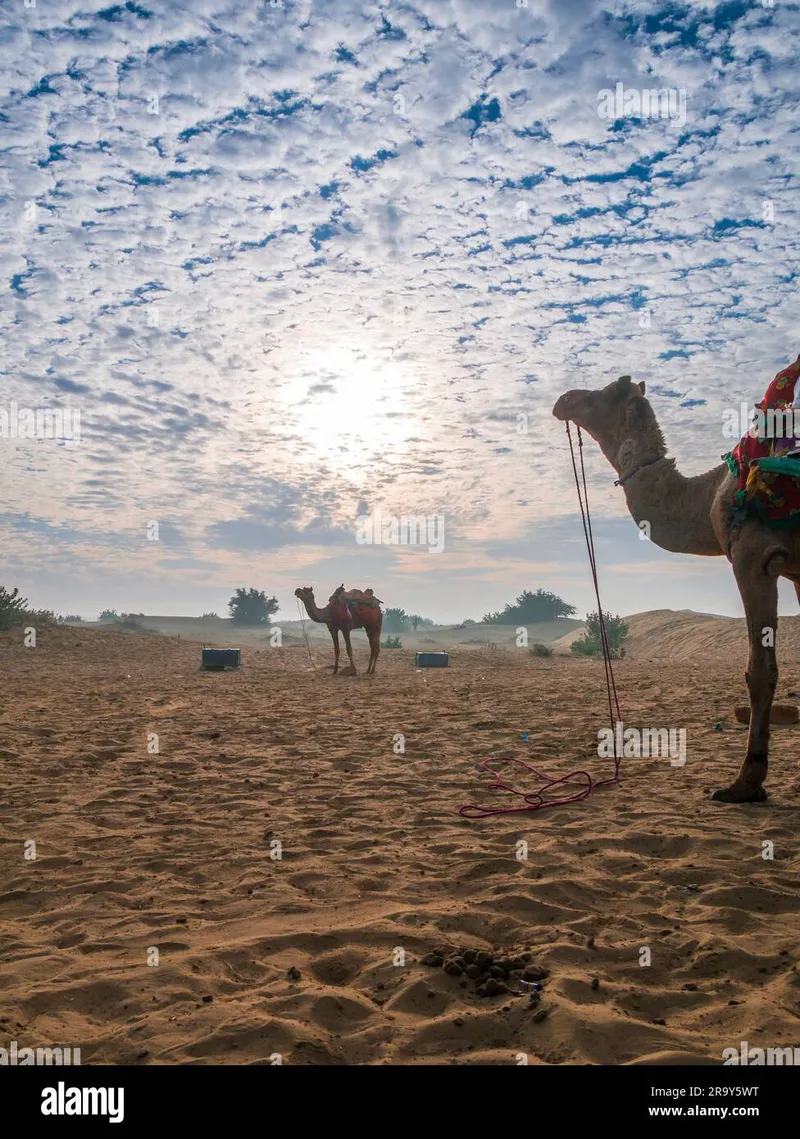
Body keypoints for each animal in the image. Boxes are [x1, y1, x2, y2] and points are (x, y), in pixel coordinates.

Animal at [553, 373, 800, 801]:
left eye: (602, 393)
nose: (562, 400)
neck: (707, 495)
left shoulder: (754, 557)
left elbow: (759, 671)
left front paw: (745, 784)